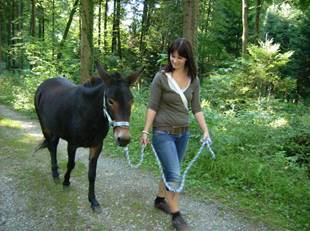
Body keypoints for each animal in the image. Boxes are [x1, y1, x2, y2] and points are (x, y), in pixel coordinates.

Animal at [34, 61, 143, 213]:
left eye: (131, 101)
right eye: (110, 101)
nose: (124, 139)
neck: (89, 115)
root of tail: (46, 82)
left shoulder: (97, 146)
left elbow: (92, 174)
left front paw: (93, 201)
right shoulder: (72, 144)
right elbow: (71, 164)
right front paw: (66, 182)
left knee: (53, 145)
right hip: (45, 127)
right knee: (52, 147)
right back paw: (55, 174)